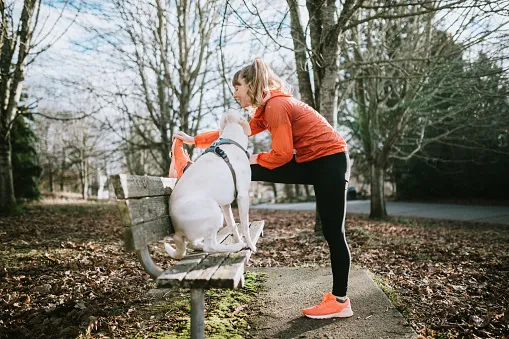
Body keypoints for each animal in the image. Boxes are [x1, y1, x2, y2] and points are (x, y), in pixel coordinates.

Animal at [165, 109, 256, 260]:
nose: (244, 108)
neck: (231, 140)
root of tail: (177, 231)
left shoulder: (226, 204)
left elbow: (232, 225)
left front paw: (238, 240)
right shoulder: (243, 196)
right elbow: (244, 226)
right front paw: (250, 245)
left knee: (194, 244)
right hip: (214, 211)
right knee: (210, 246)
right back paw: (235, 247)